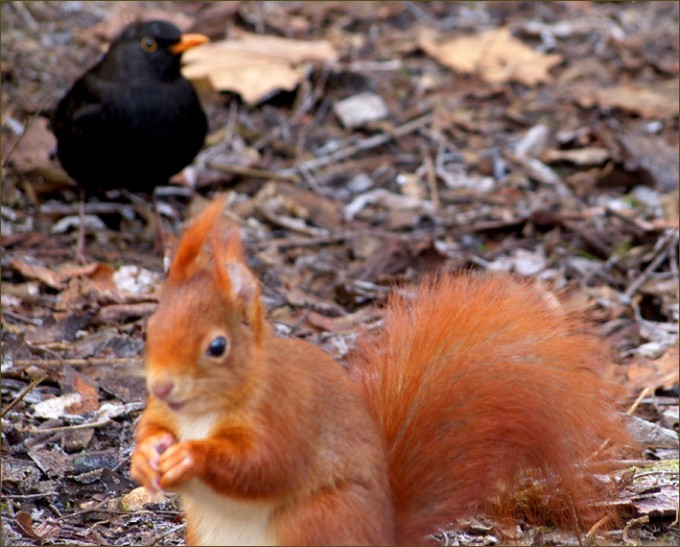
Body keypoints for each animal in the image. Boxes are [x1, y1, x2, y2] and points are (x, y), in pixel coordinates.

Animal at [130, 198, 632, 546]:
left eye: (217, 347)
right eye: (149, 328)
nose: (162, 384)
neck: (201, 412)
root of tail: (385, 536)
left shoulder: (285, 416)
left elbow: (263, 466)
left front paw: (190, 457)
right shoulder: (164, 412)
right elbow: (150, 425)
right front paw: (146, 456)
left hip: (319, 517)